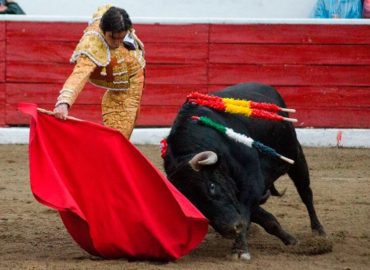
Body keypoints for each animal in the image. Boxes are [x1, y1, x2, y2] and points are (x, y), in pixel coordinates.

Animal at [163, 82, 326, 260]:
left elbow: (245, 214)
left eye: (211, 186)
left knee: (306, 193)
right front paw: (289, 239)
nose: (229, 229)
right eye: (191, 204)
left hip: (296, 157)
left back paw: (318, 230)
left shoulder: (252, 185)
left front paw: (240, 249)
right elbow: (266, 219)